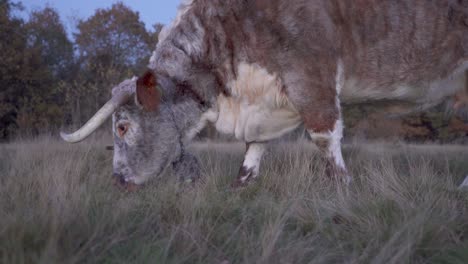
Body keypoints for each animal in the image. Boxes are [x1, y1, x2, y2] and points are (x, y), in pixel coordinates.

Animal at [60, 0, 468, 190]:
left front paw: (342, 186)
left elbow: (325, 136)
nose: (117, 180)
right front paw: (239, 186)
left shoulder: (311, 73)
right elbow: (253, 147)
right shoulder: (263, 104)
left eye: (123, 127)